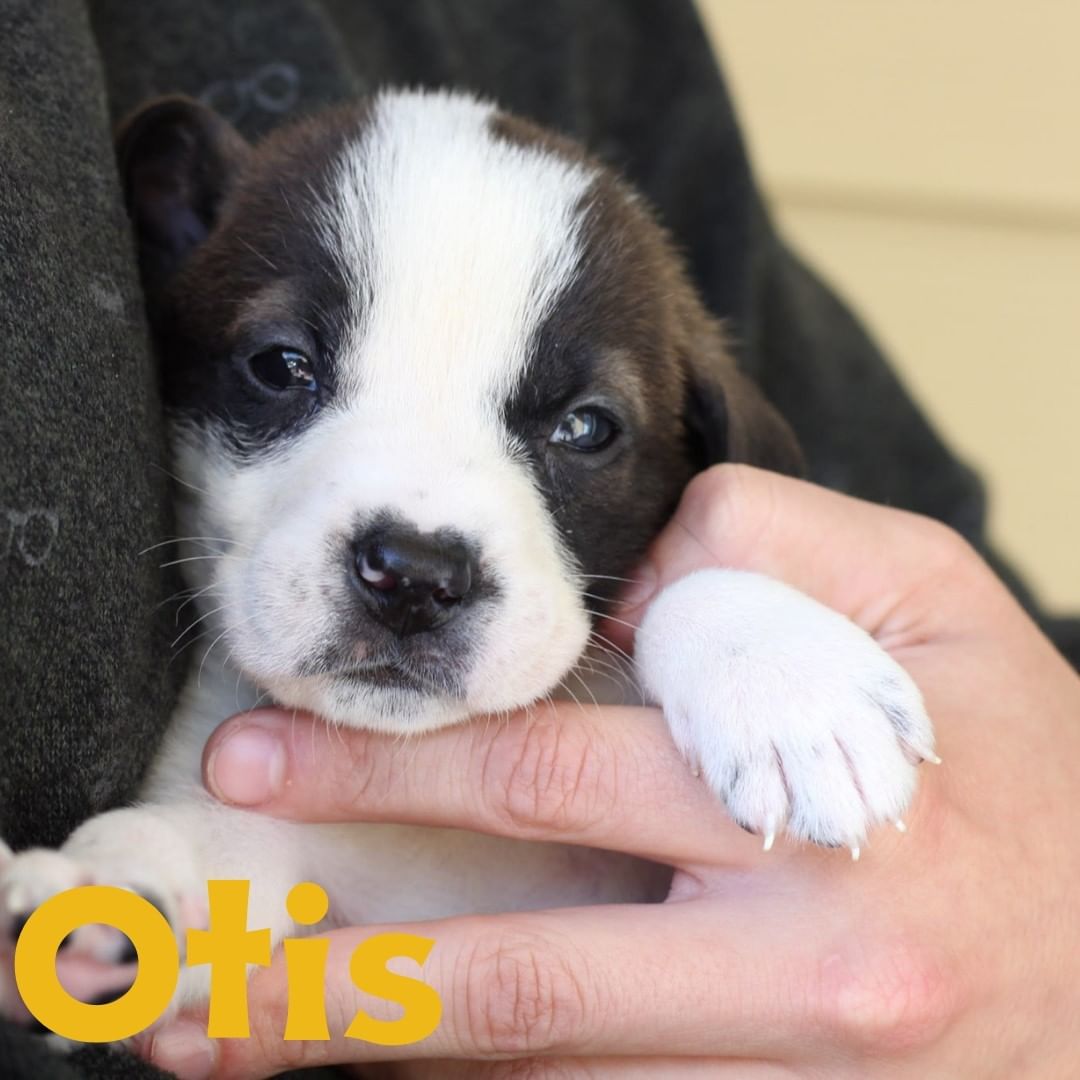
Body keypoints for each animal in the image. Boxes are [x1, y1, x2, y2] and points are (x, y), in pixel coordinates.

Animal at [0, 90, 933, 1019]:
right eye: (280, 365)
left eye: (585, 427)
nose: (412, 577)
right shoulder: (240, 827)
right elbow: (173, 851)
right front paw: (90, 897)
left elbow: (688, 583)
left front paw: (785, 680)